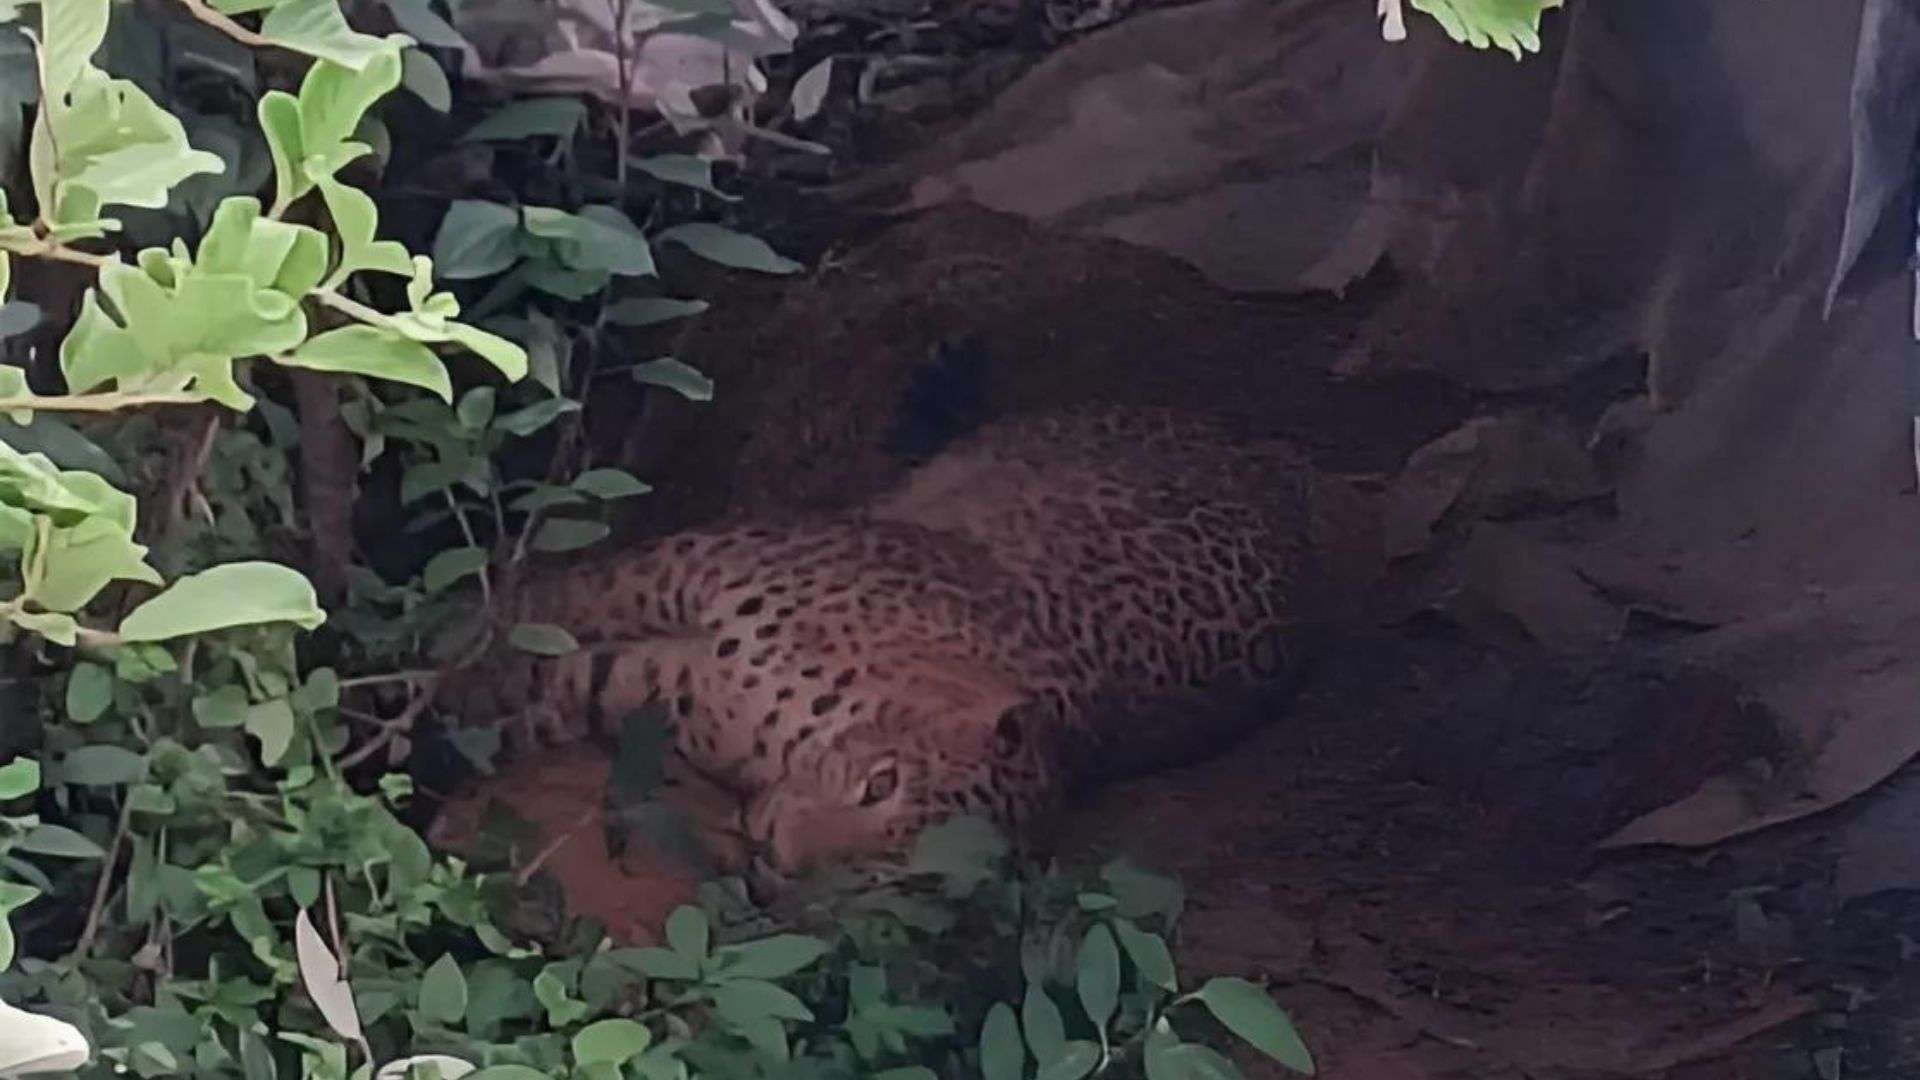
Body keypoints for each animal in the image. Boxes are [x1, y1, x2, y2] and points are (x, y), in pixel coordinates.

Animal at [436, 405, 1364, 892]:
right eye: (880, 784)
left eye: (891, 871)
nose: (775, 854)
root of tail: (1291, 461)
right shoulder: (670, 573)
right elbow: (526, 613)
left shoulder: (652, 682)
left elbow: (535, 693)